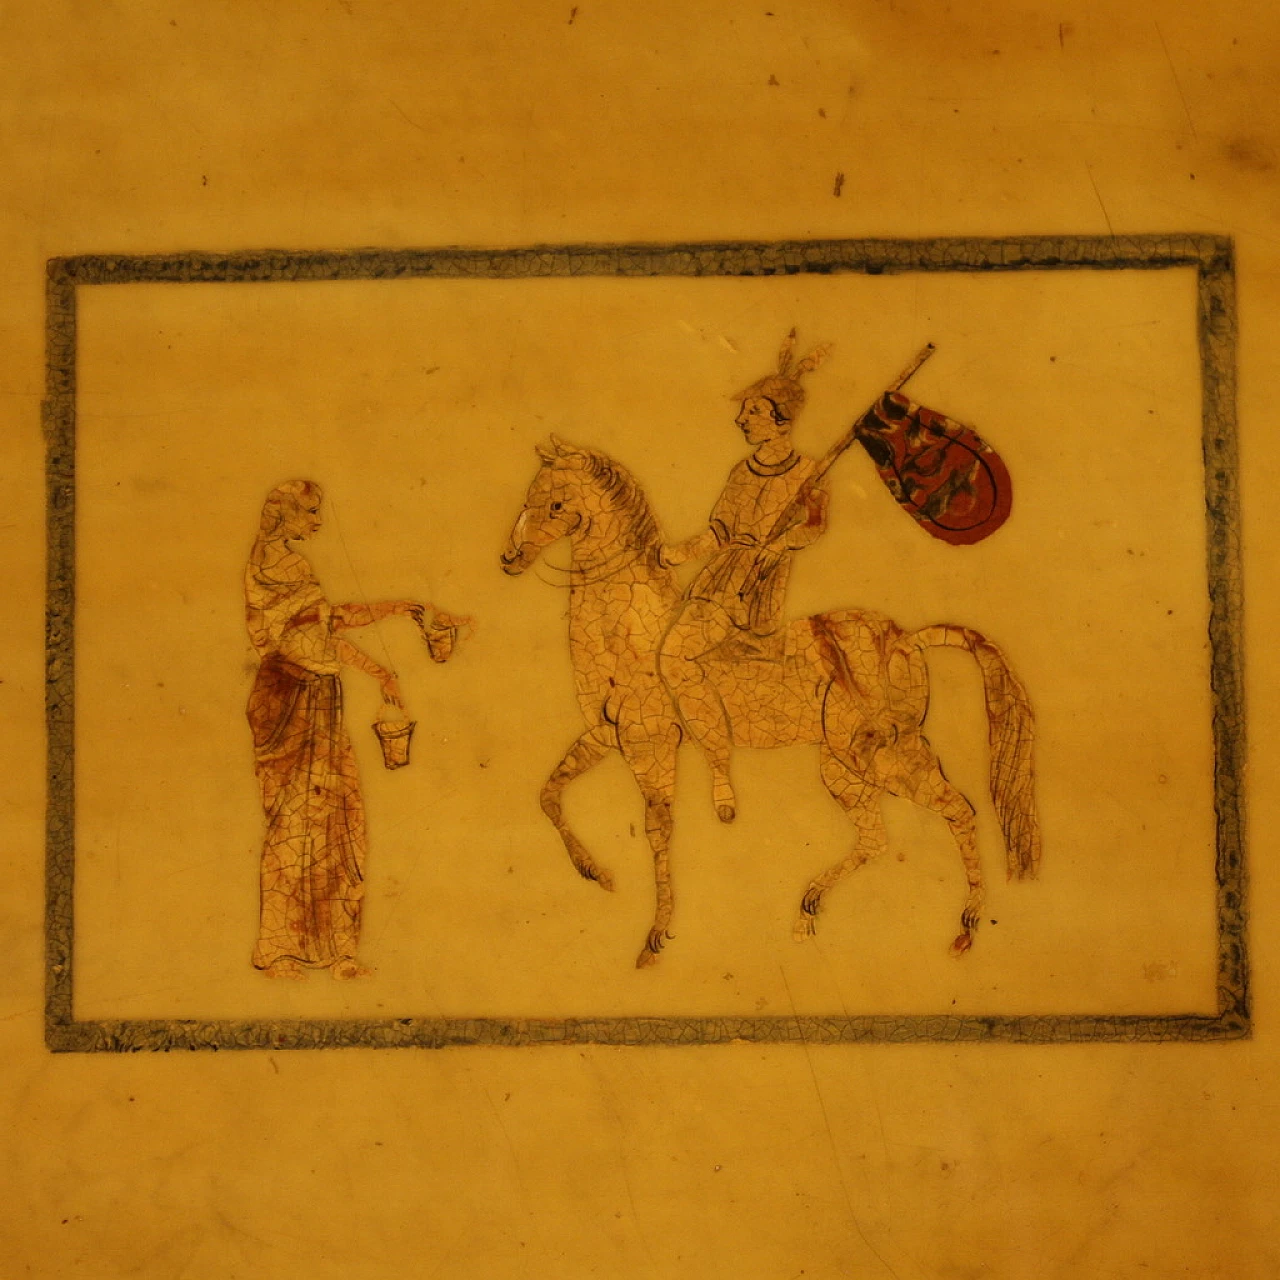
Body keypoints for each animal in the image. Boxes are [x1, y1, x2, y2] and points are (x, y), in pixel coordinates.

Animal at [499, 435, 1039, 962]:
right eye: (530, 495)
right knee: (876, 839)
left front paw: (655, 935)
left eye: (555, 503)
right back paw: (807, 908)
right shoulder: (605, 736)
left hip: (888, 755)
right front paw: (597, 874)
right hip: (843, 766)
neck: (629, 629)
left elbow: (657, 827)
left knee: (958, 809)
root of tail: (908, 639)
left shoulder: (649, 744)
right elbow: (548, 795)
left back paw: (966, 929)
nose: (509, 559)